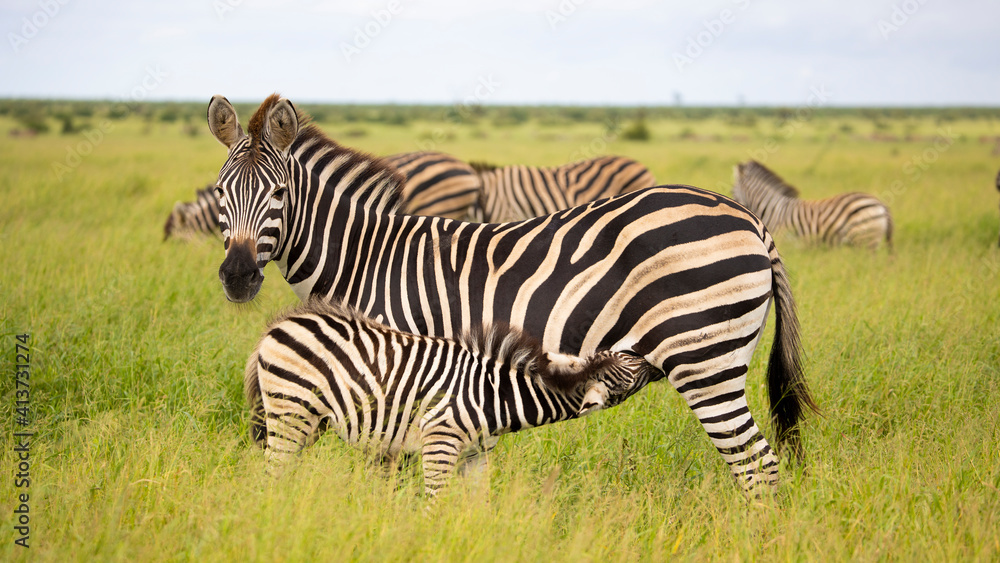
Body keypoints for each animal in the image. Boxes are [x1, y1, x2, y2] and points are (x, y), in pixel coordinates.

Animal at [246, 297, 658, 496]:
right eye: (631, 368)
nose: (650, 350)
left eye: (628, 357)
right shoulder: (439, 442)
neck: (498, 396)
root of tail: (276, 326)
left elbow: (478, 505)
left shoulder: (476, 454)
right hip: (290, 411)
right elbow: (435, 503)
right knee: (272, 472)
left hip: (310, 421)